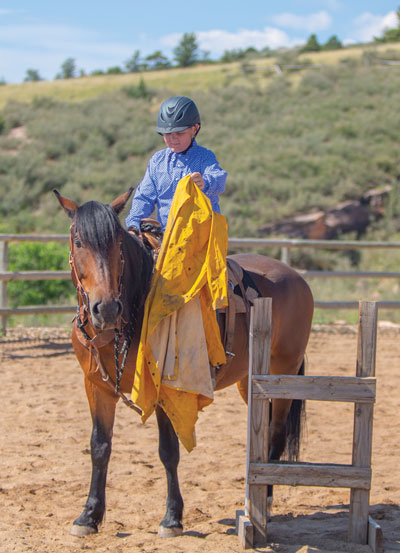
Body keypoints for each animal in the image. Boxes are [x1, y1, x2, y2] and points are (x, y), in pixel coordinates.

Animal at [54, 188, 316, 536]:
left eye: (117, 242)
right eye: (78, 241)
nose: (106, 308)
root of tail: (298, 279)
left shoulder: (165, 389)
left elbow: (168, 451)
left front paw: (172, 517)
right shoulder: (96, 386)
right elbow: (99, 446)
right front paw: (89, 515)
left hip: (283, 373)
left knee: (275, 432)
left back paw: (268, 501)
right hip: (251, 382)